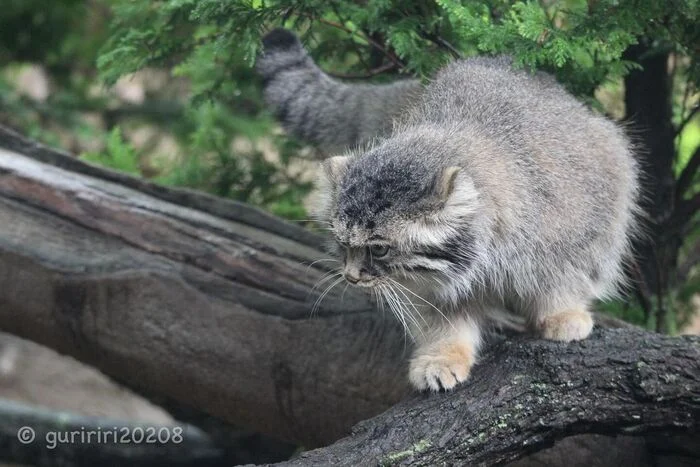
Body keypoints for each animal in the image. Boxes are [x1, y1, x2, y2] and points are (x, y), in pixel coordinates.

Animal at [258, 30, 640, 392]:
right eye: (342, 244)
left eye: (379, 249)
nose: (351, 277)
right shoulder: (426, 287)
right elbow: (443, 322)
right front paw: (442, 356)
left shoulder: (578, 231)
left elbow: (560, 278)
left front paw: (561, 312)